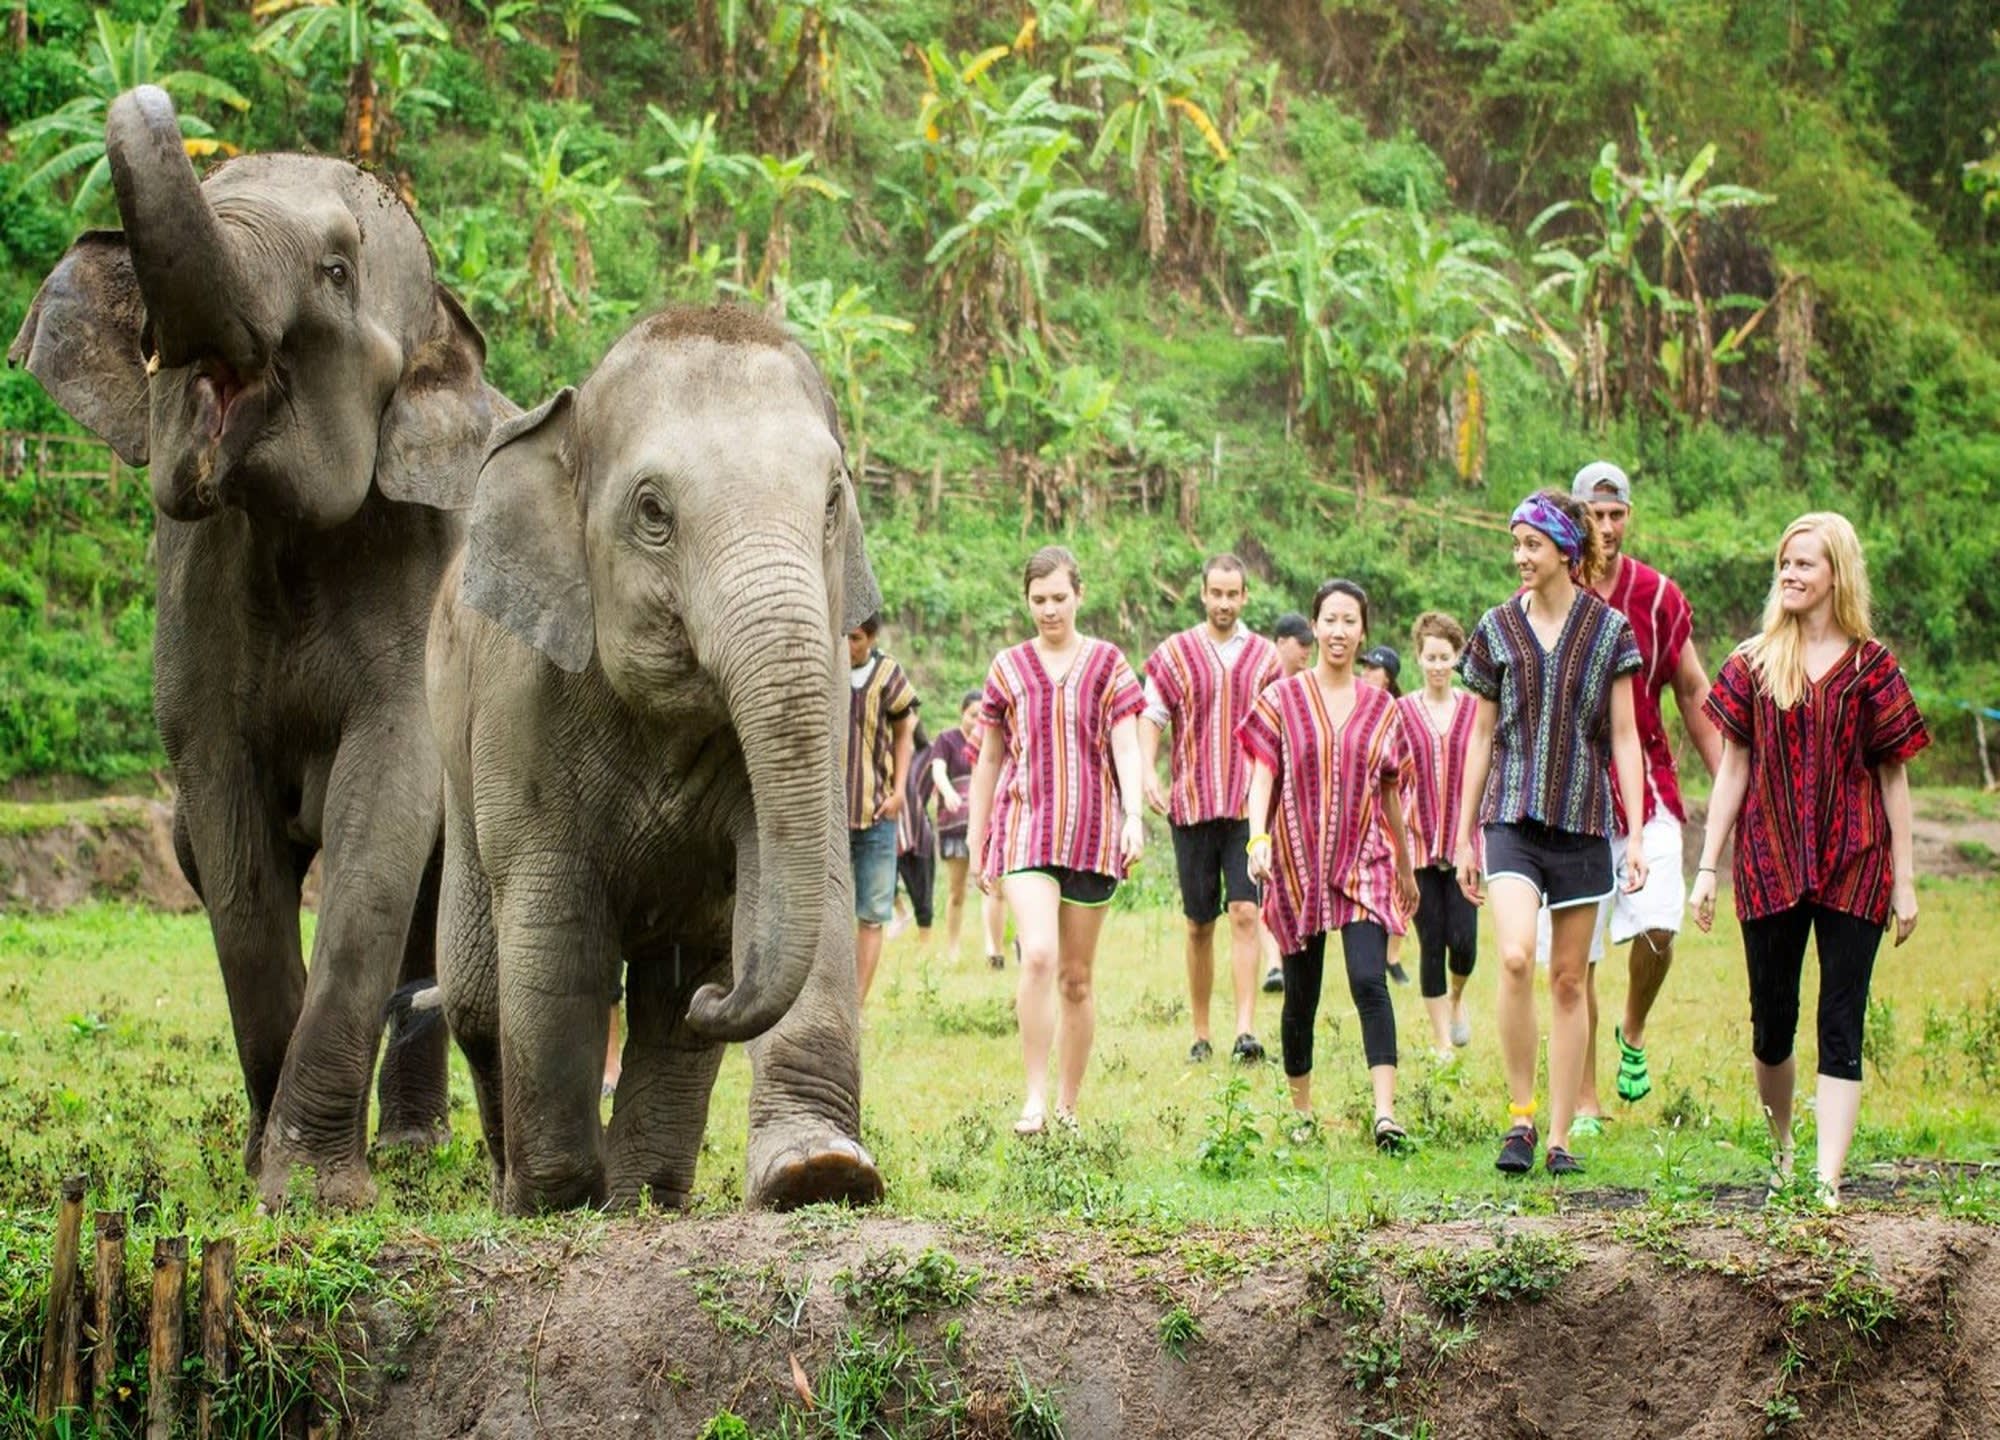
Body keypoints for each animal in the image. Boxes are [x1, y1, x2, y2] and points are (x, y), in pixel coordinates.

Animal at [7, 86, 509, 1209]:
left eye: (337, 271)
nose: (148, 94)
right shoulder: (196, 591)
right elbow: (226, 827)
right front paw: (263, 1174)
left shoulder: (423, 572)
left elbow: (384, 806)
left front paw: (317, 1194)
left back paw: (410, 1151)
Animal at [426, 303, 885, 1215]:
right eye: (652, 512)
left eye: (831, 502)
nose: (723, 997)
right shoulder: (518, 700)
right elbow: (554, 917)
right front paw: (557, 1199)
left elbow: (809, 881)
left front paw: (821, 1174)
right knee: (475, 997)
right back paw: (520, 1188)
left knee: (668, 1002)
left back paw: (644, 1198)